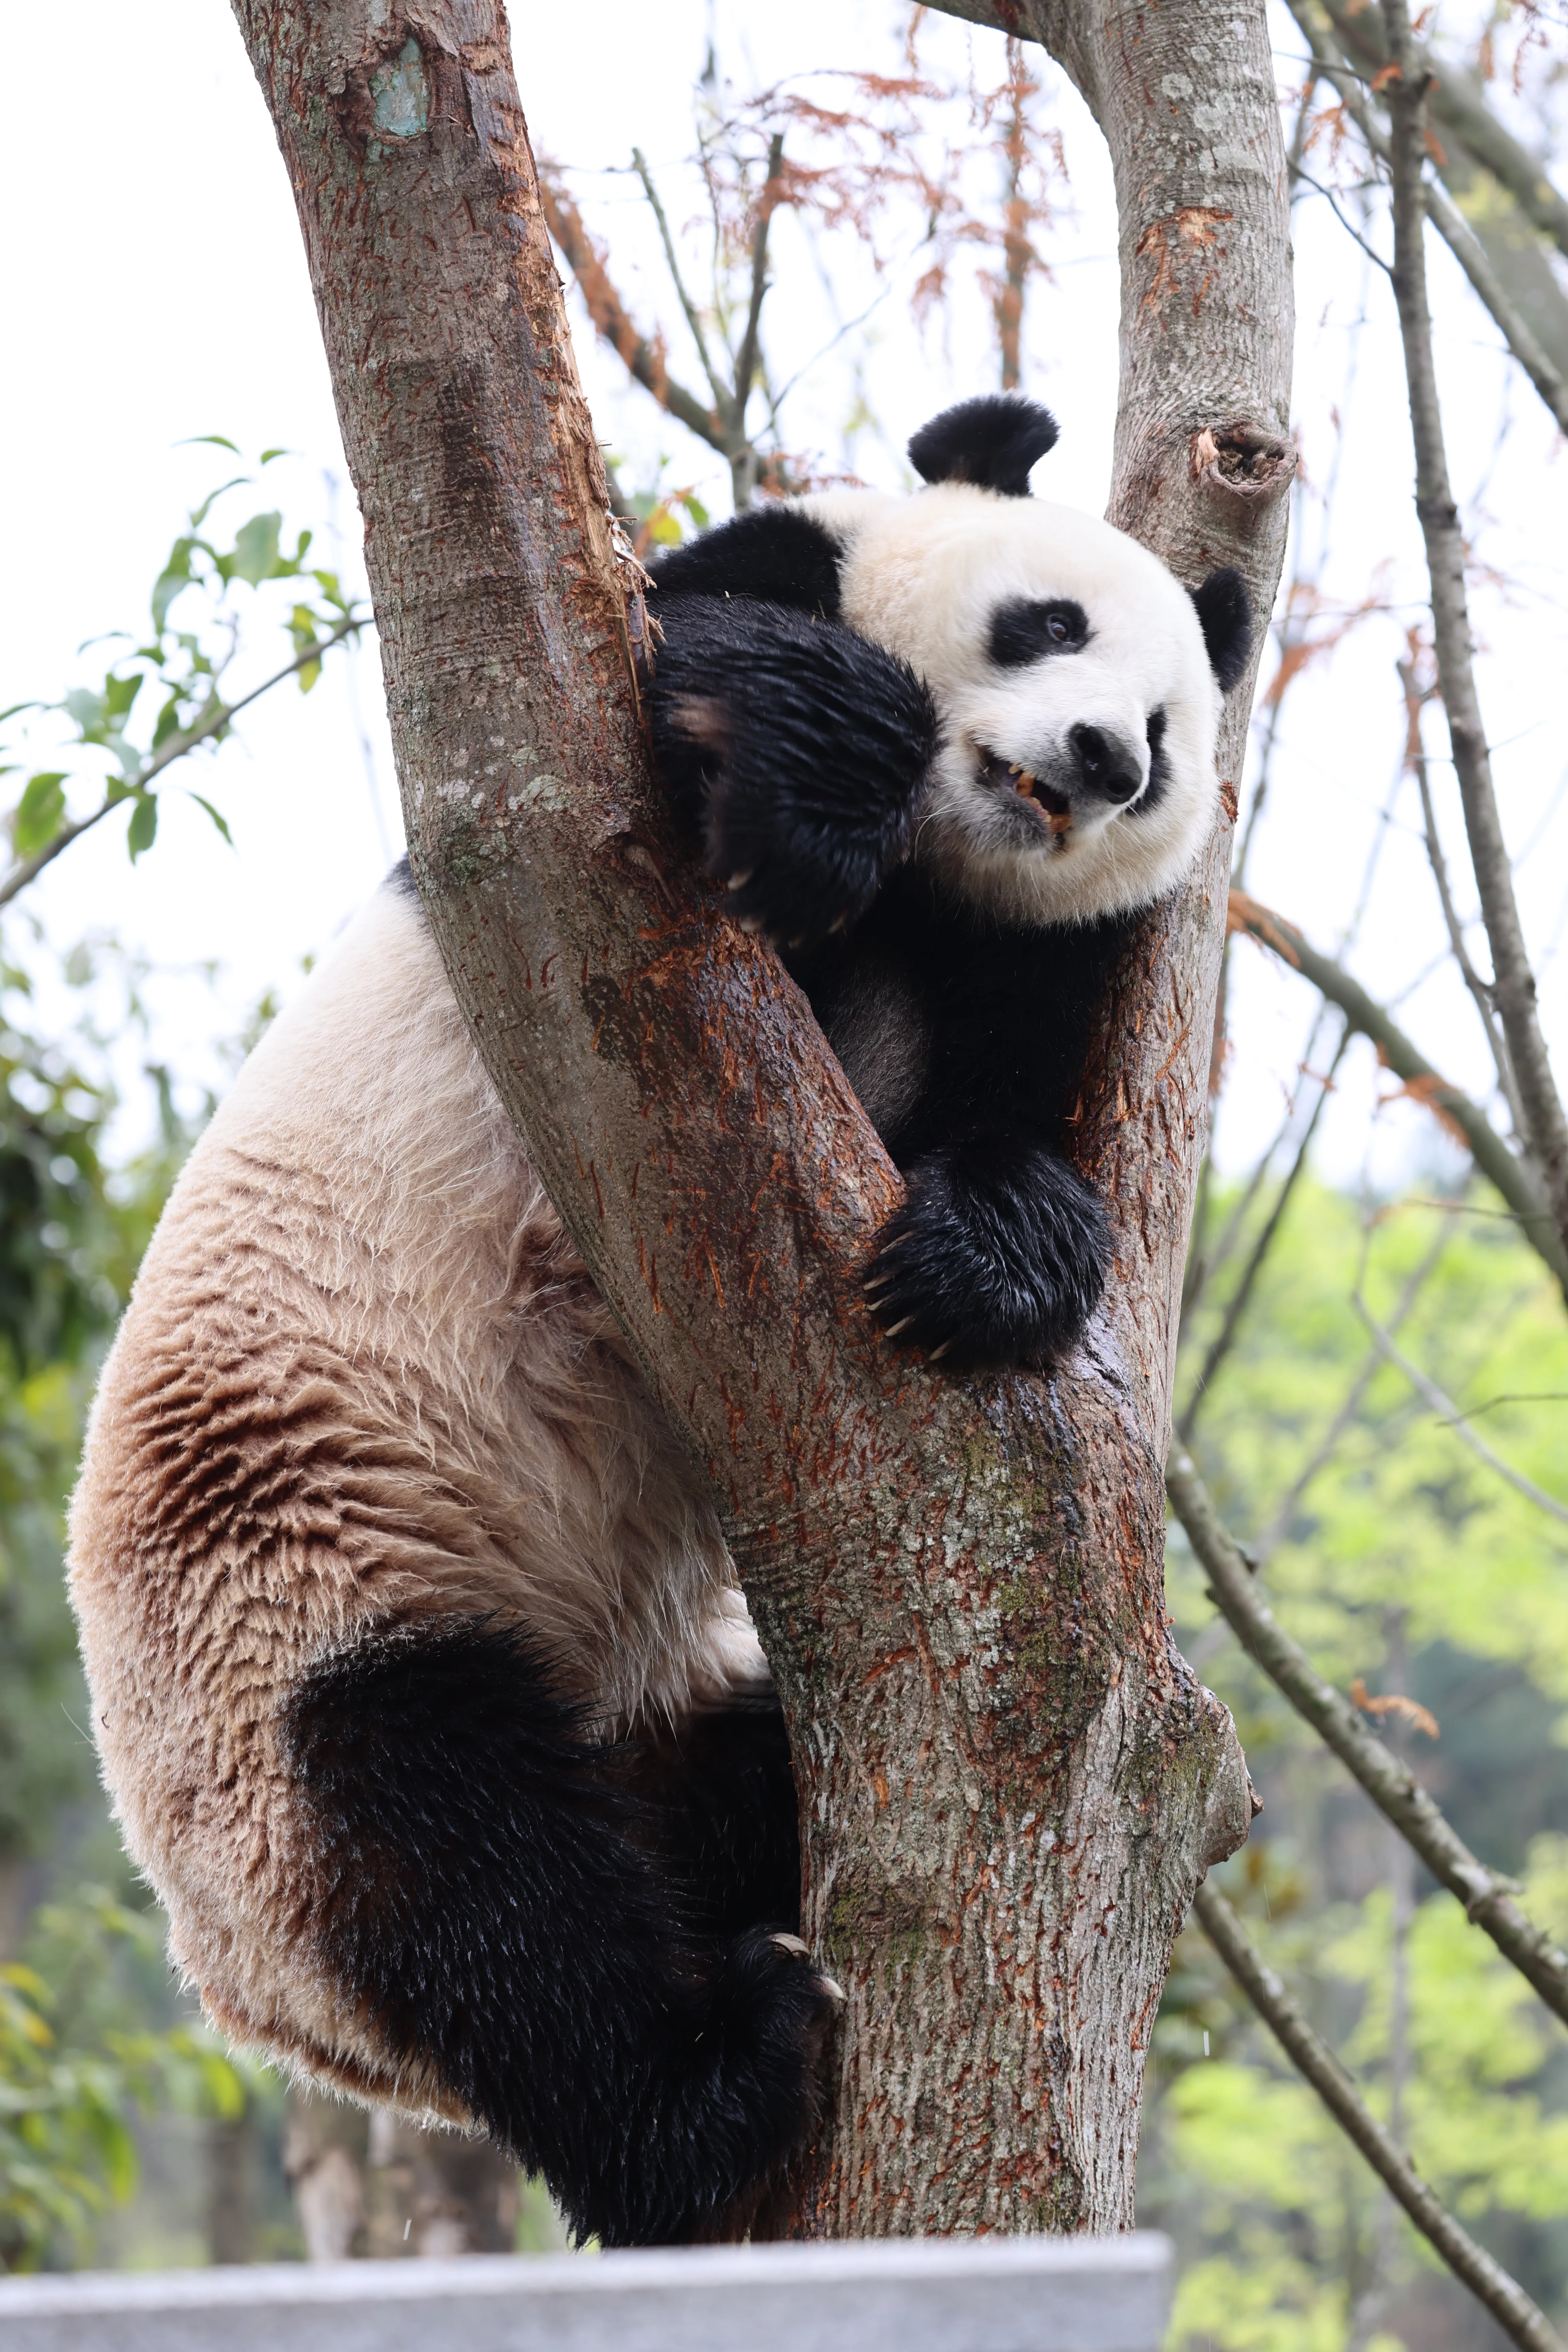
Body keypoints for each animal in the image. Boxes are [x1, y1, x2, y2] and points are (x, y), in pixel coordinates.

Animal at [67, 396, 1249, 2250]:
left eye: (1167, 735)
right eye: (1045, 622)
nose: (1094, 762)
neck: (933, 872)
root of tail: (267, 2013)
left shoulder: (1033, 960)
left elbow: (1002, 1094)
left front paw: (987, 1252)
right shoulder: (587, 819)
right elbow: (658, 675)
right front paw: (823, 750)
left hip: (624, 1717)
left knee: (694, 1808)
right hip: (289, 1608)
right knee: (469, 1866)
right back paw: (713, 2090)